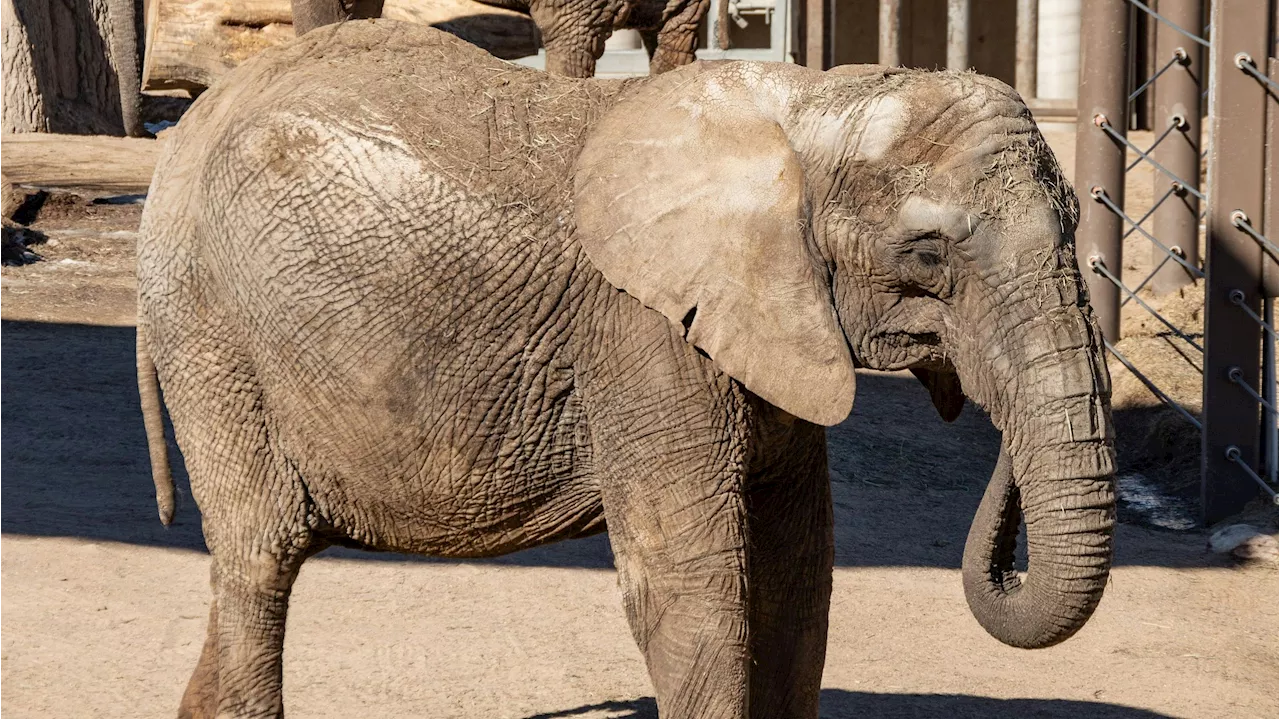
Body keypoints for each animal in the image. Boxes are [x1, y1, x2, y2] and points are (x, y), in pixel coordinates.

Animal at [135, 20, 1121, 716]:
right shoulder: (643, 334)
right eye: (927, 255)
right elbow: (689, 588)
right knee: (260, 556)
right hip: (210, 330)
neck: (806, 108)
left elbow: (799, 577)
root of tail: (182, 137)